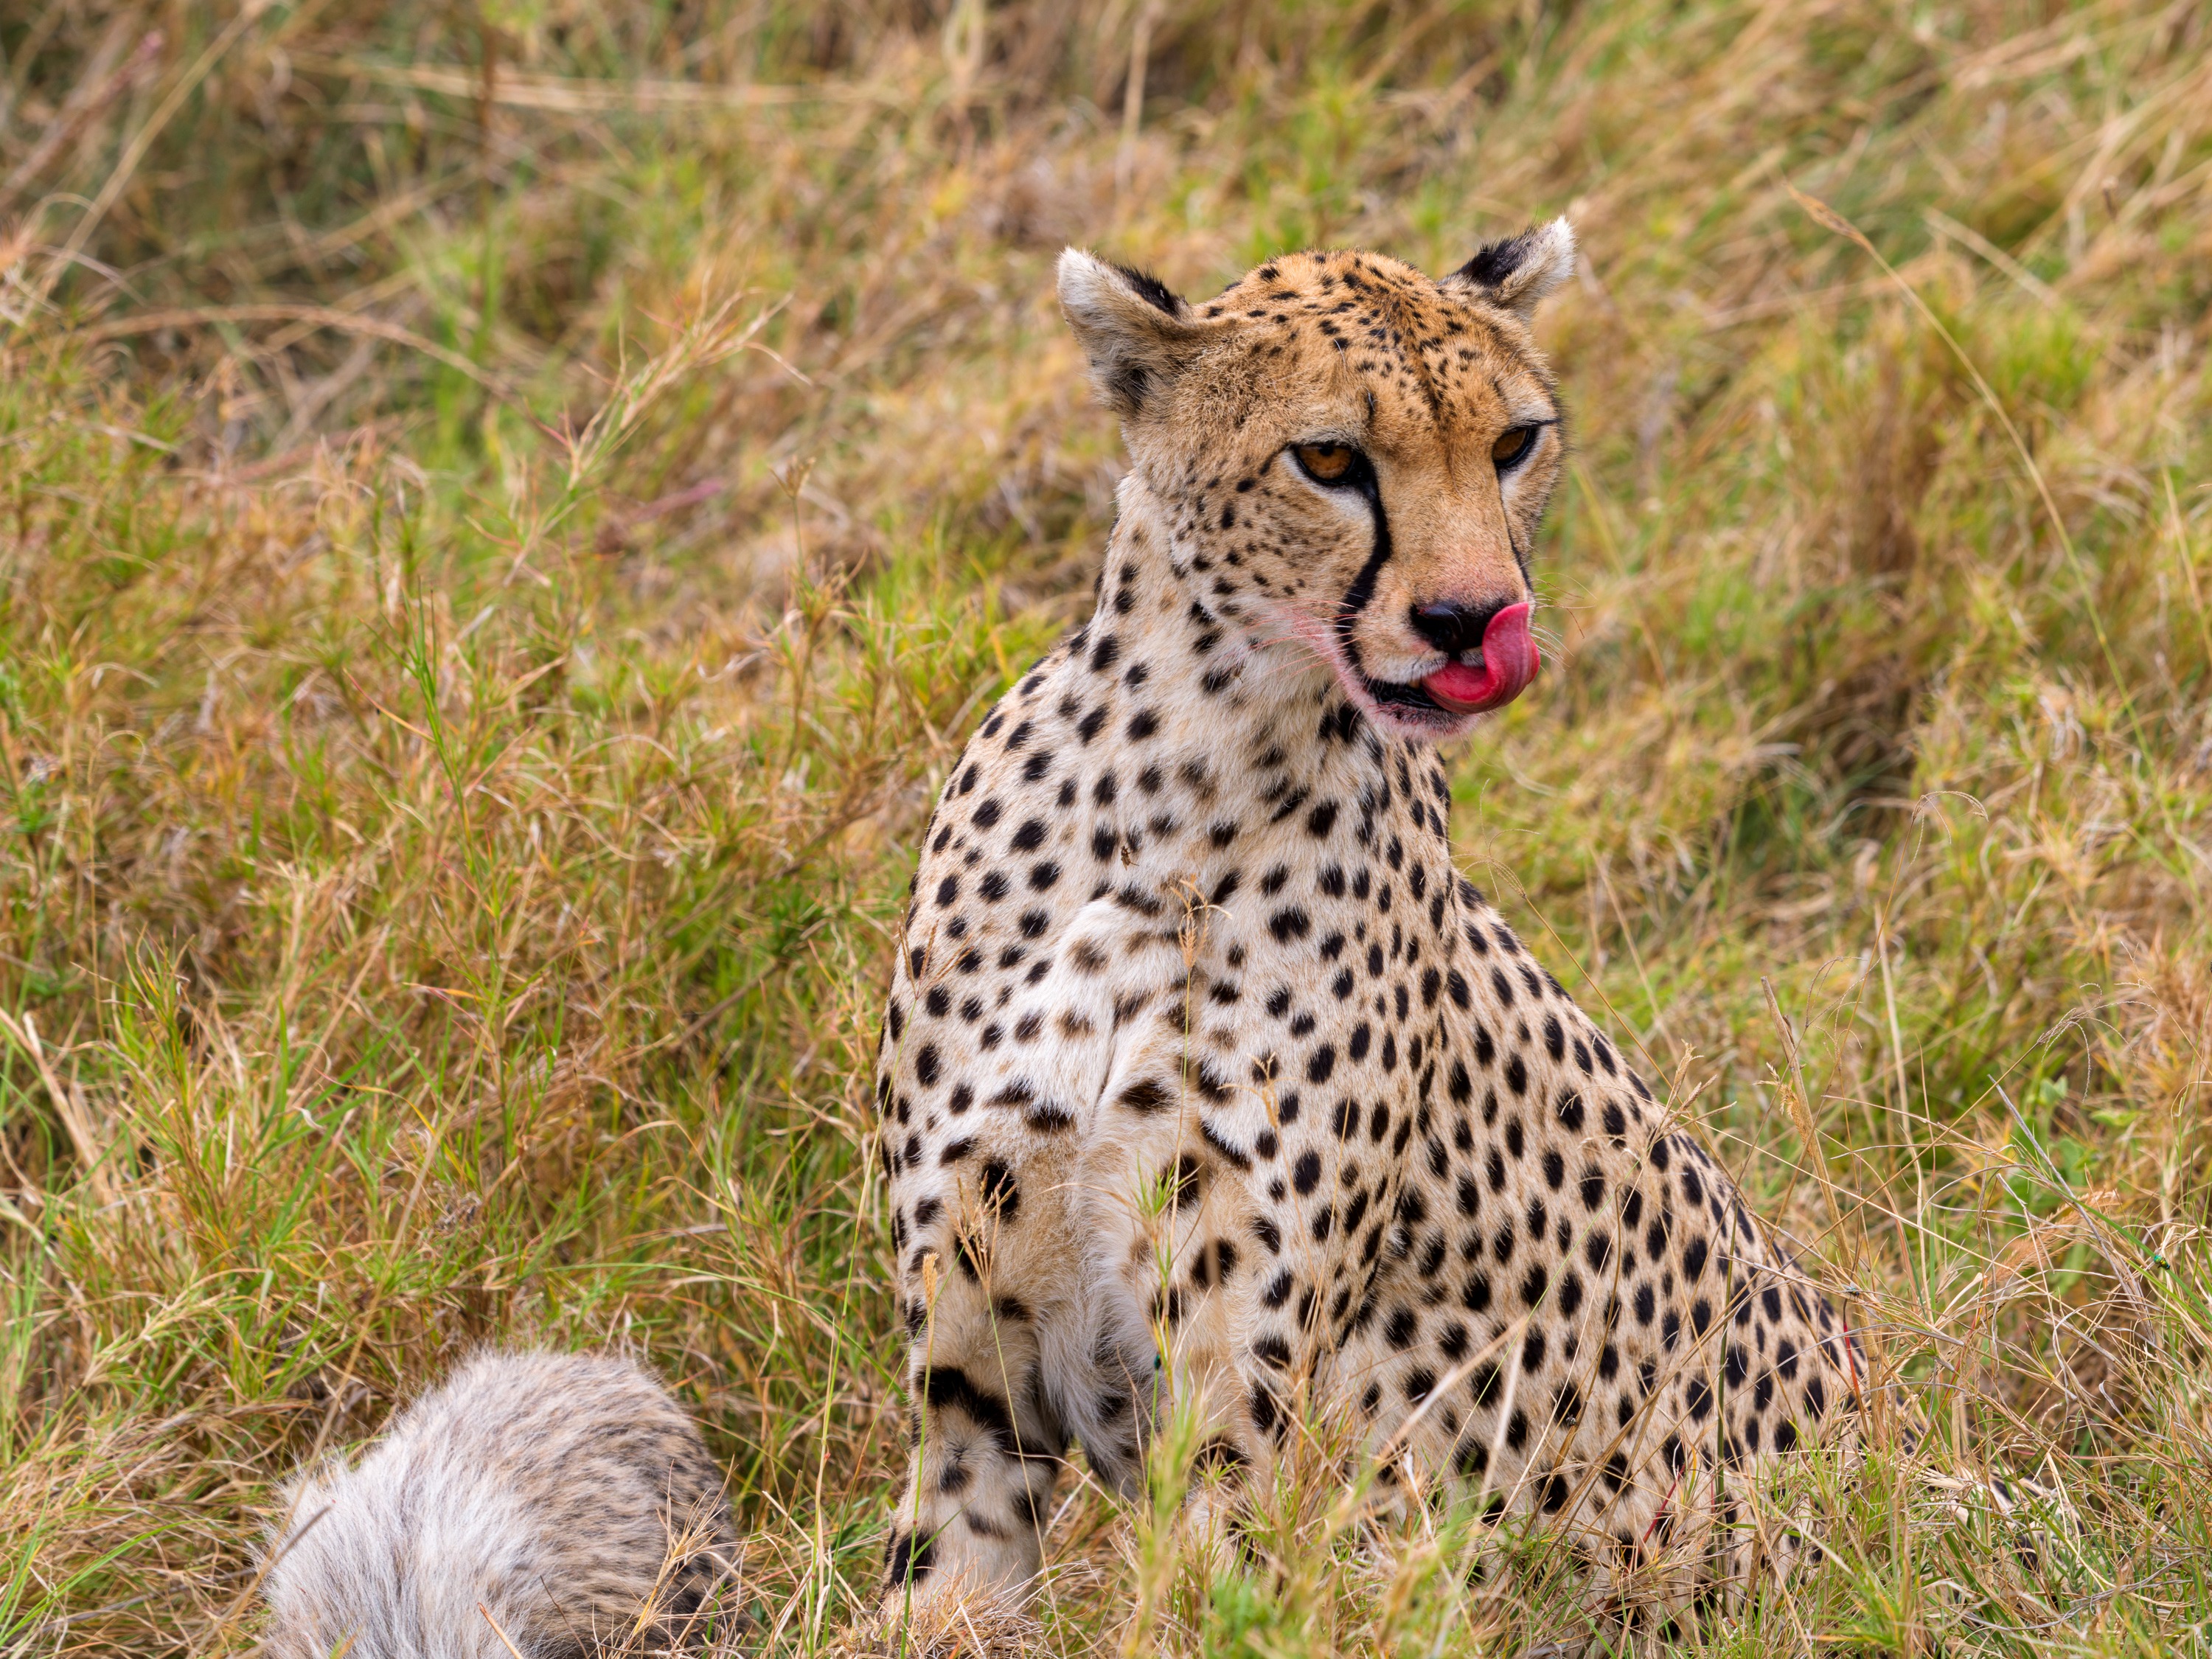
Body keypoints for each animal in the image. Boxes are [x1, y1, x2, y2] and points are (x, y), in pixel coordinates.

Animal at [869, 218, 1863, 1637]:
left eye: (1514, 443)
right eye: (1330, 460)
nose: (1474, 621)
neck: (1180, 776)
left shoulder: (1235, 1428)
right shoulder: (973, 1404)